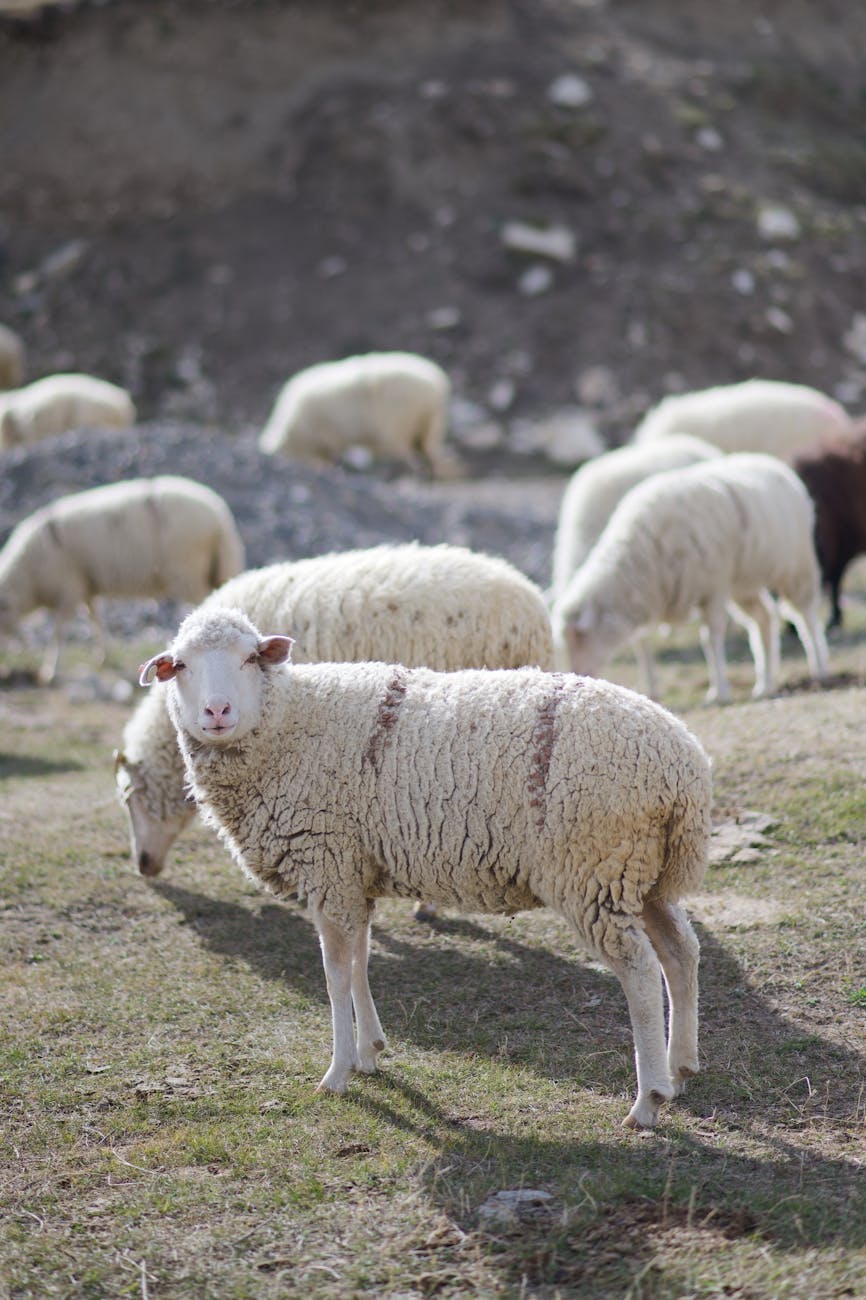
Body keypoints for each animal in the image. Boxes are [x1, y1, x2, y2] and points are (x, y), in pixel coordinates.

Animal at [0, 475, 245, 682]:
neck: (28, 577)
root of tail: (221, 519)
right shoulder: (86, 587)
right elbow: (95, 620)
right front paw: (104, 656)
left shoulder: (68, 588)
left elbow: (59, 632)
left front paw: (50, 671)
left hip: (187, 574)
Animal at [140, 605, 713, 1130]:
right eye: (181, 665)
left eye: (250, 658)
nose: (217, 711)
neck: (288, 725)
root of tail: (683, 765)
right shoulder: (354, 874)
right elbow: (360, 962)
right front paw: (370, 1052)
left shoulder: (328, 866)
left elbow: (334, 975)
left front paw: (337, 1072)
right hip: (642, 875)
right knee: (681, 953)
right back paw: (682, 1069)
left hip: (592, 870)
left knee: (640, 973)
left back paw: (648, 1099)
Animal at [258, 351, 461, 478]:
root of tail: (437, 382)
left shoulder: (328, 435)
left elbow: (332, 455)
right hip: (431, 421)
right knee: (428, 450)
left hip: (399, 419)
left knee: (406, 450)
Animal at [550, 452, 829, 704]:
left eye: (579, 636)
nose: (577, 675)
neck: (641, 558)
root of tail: (773, 463)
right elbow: (645, 642)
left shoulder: (714, 588)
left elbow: (710, 640)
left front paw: (719, 691)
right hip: (744, 584)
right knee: (764, 619)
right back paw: (765, 683)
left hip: (796, 565)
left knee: (806, 616)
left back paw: (819, 667)